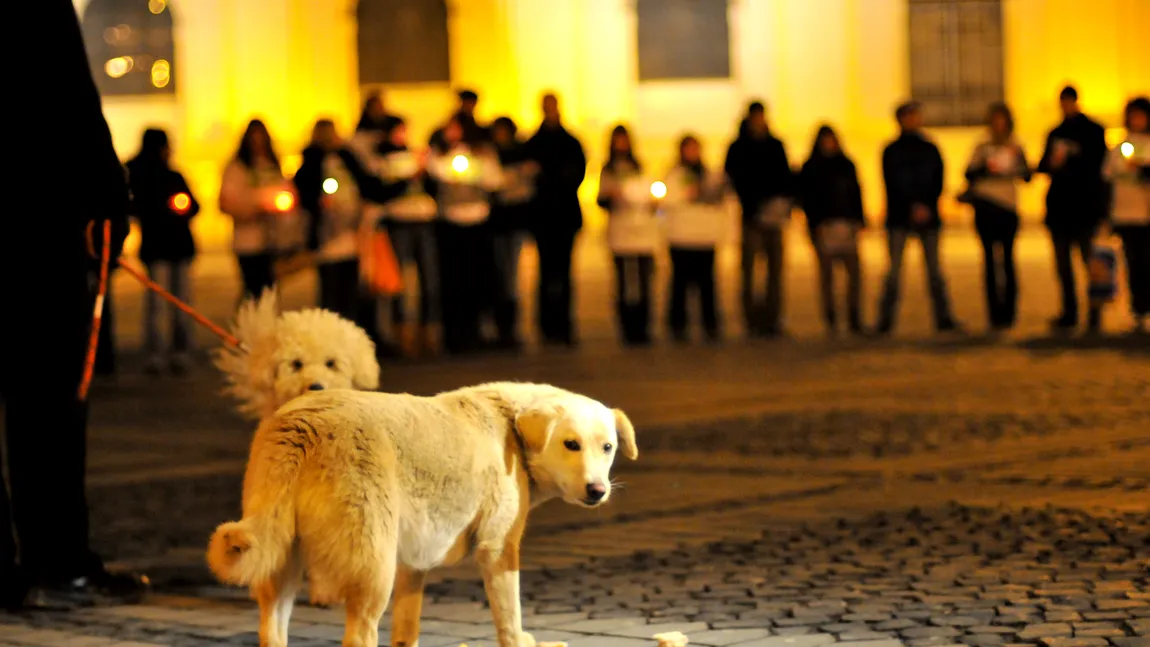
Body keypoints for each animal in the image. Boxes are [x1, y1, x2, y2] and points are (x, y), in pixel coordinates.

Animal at [207, 381, 639, 647]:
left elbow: (406, 629)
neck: (513, 429)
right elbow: (509, 620)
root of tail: (299, 426)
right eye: (570, 444)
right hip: (371, 567)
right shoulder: (498, 550)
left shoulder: (412, 564)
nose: (597, 491)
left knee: (272, 626)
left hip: (281, 561)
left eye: (607, 447)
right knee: (360, 632)